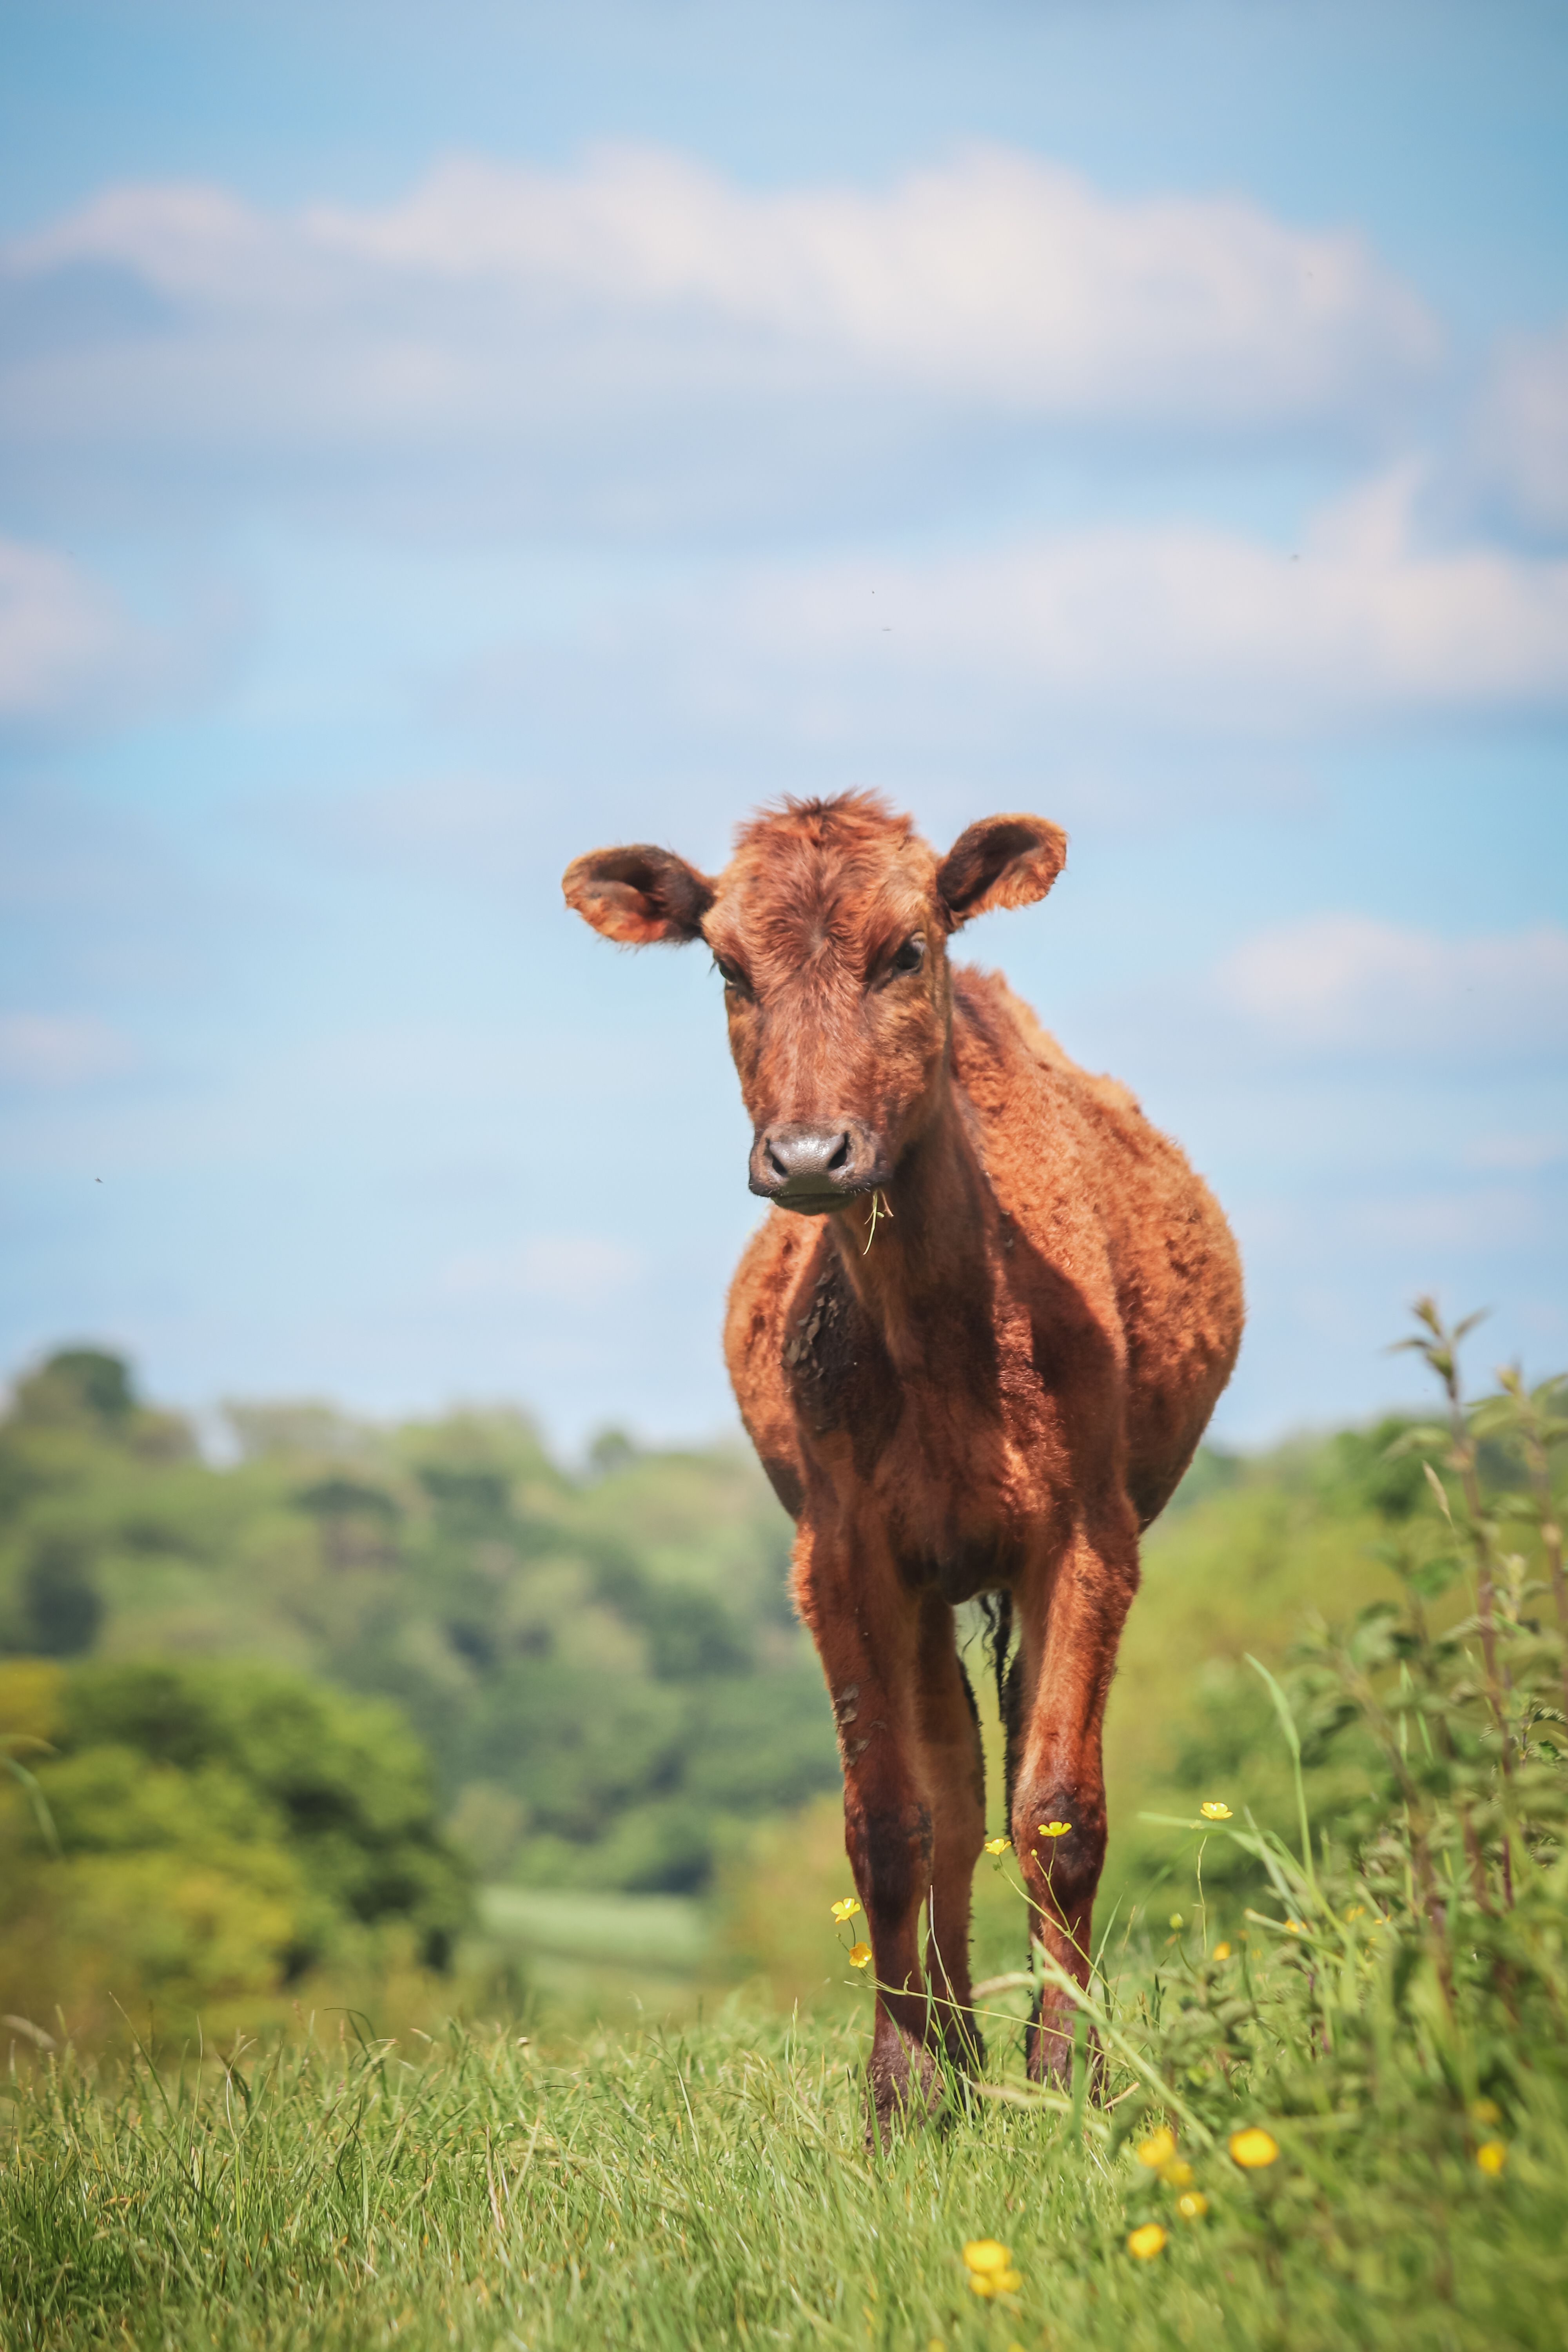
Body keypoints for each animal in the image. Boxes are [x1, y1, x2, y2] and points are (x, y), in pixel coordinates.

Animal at [564, 792, 1243, 2135]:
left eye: (907, 949)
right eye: (728, 965)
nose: (811, 1156)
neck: (946, 1331)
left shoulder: (1089, 1536)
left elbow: (1059, 1808)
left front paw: (1068, 2077)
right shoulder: (842, 1550)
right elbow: (887, 1819)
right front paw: (899, 2091)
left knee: (1006, 1768)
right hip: (928, 1580)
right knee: (950, 1781)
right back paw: (958, 2052)